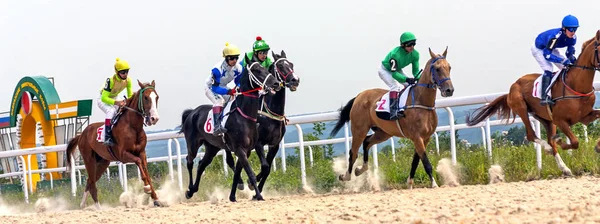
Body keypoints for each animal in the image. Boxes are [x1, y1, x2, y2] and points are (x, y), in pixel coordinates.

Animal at [66, 80, 161, 208]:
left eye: (156, 97)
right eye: (146, 97)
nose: (154, 118)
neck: (133, 127)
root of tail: (81, 135)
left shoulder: (142, 153)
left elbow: (145, 170)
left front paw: (155, 198)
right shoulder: (123, 155)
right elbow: (138, 162)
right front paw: (146, 188)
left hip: (103, 162)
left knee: (89, 182)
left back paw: (82, 205)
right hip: (89, 160)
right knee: (92, 184)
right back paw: (98, 208)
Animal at [178, 52, 282, 201]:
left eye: (265, 68)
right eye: (256, 70)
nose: (275, 83)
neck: (243, 116)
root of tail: (192, 112)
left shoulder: (246, 150)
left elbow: (238, 172)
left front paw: (233, 196)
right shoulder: (240, 149)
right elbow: (250, 173)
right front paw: (258, 195)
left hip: (212, 147)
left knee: (202, 165)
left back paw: (193, 189)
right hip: (193, 144)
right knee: (190, 161)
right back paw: (188, 191)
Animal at [225, 50, 300, 193]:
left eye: (292, 64)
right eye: (280, 66)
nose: (295, 80)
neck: (270, 113)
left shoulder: (274, 145)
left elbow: (268, 168)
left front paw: (256, 190)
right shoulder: (258, 143)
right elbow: (265, 166)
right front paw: (251, 182)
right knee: (230, 160)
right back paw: (240, 182)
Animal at [328, 47, 454, 189]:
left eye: (449, 67)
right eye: (437, 68)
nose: (449, 90)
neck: (422, 102)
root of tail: (359, 96)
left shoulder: (425, 137)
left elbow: (416, 161)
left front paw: (409, 183)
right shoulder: (417, 137)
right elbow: (426, 162)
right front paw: (434, 184)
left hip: (383, 132)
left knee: (367, 142)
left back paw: (361, 169)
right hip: (359, 130)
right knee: (353, 152)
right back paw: (346, 176)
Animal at [466, 30, 600, 177]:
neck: (576, 85)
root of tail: (511, 88)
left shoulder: (585, 117)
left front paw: (598, 146)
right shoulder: (560, 120)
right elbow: (574, 142)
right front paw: (560, 141)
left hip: (546, 119)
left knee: (550, 141)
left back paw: (565, 168)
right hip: (522, 107)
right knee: (534, 136)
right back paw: (549, 149)